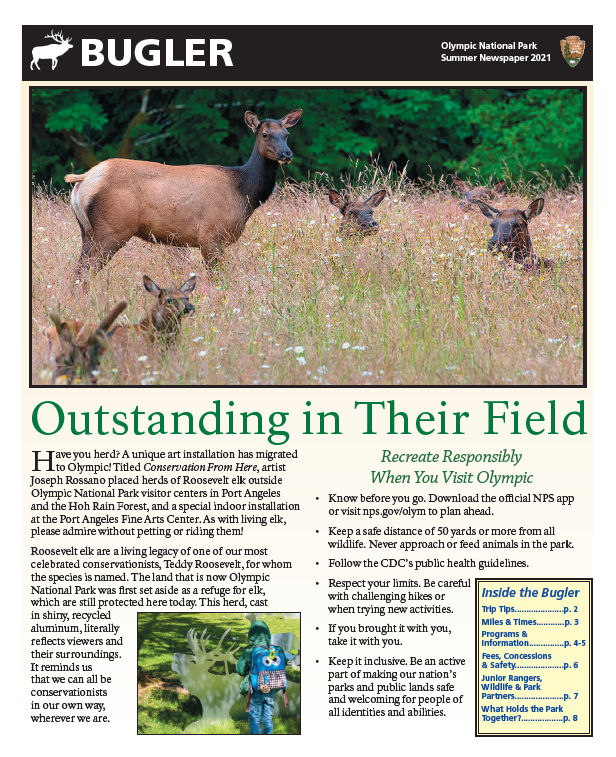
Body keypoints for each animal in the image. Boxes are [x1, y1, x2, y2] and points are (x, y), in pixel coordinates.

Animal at [63, 110, 302, 288]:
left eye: (286, 134)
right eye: (265, 134)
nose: (286, 154)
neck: (243, 193)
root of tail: (84, 179)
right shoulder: (210, 235)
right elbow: (217, 280)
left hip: (87, 232)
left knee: (77, 272)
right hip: (112, 230)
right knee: (85, 273)